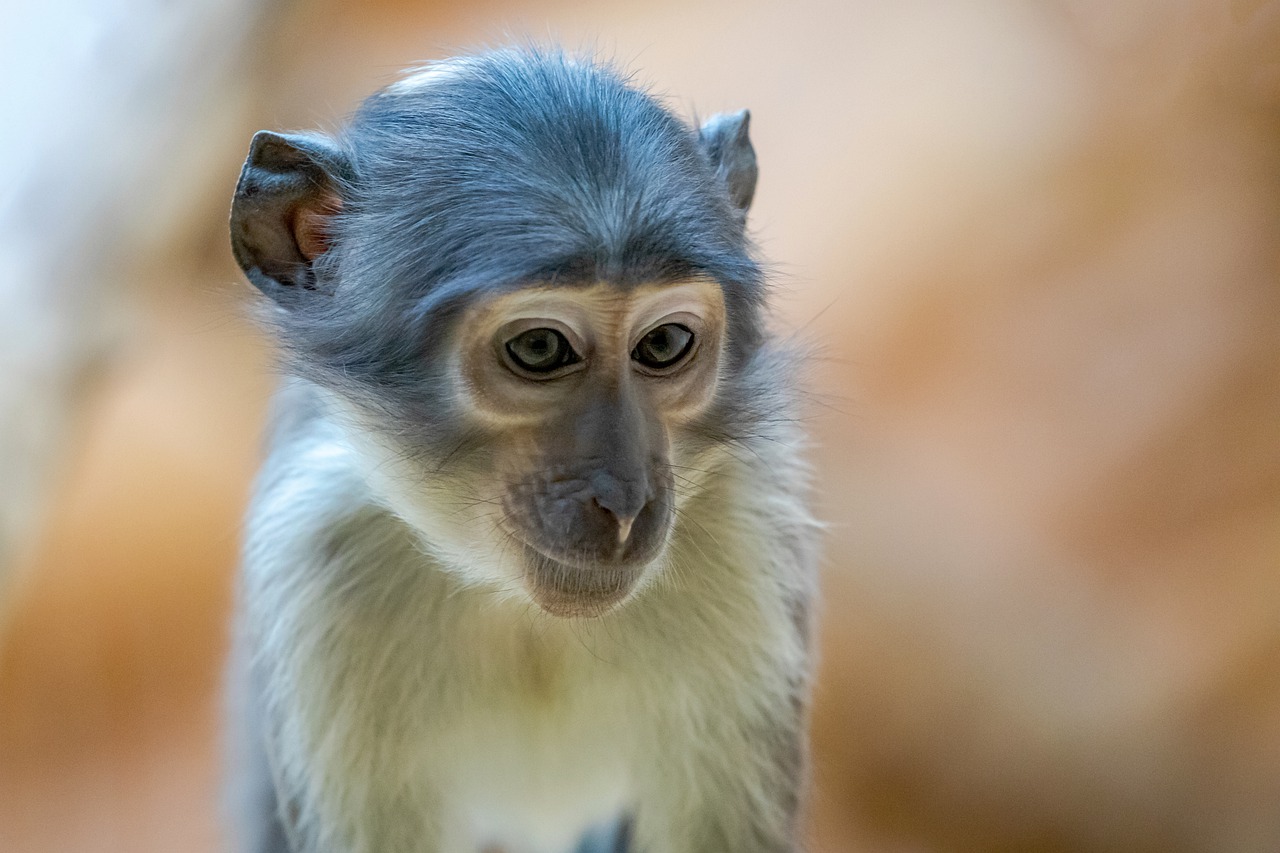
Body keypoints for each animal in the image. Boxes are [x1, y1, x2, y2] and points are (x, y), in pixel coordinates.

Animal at [226, 48, 819, 853]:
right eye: (540, 348)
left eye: (663, 343)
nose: (625, 500)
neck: (520, 611)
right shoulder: (315, 555)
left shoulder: (747, 528)